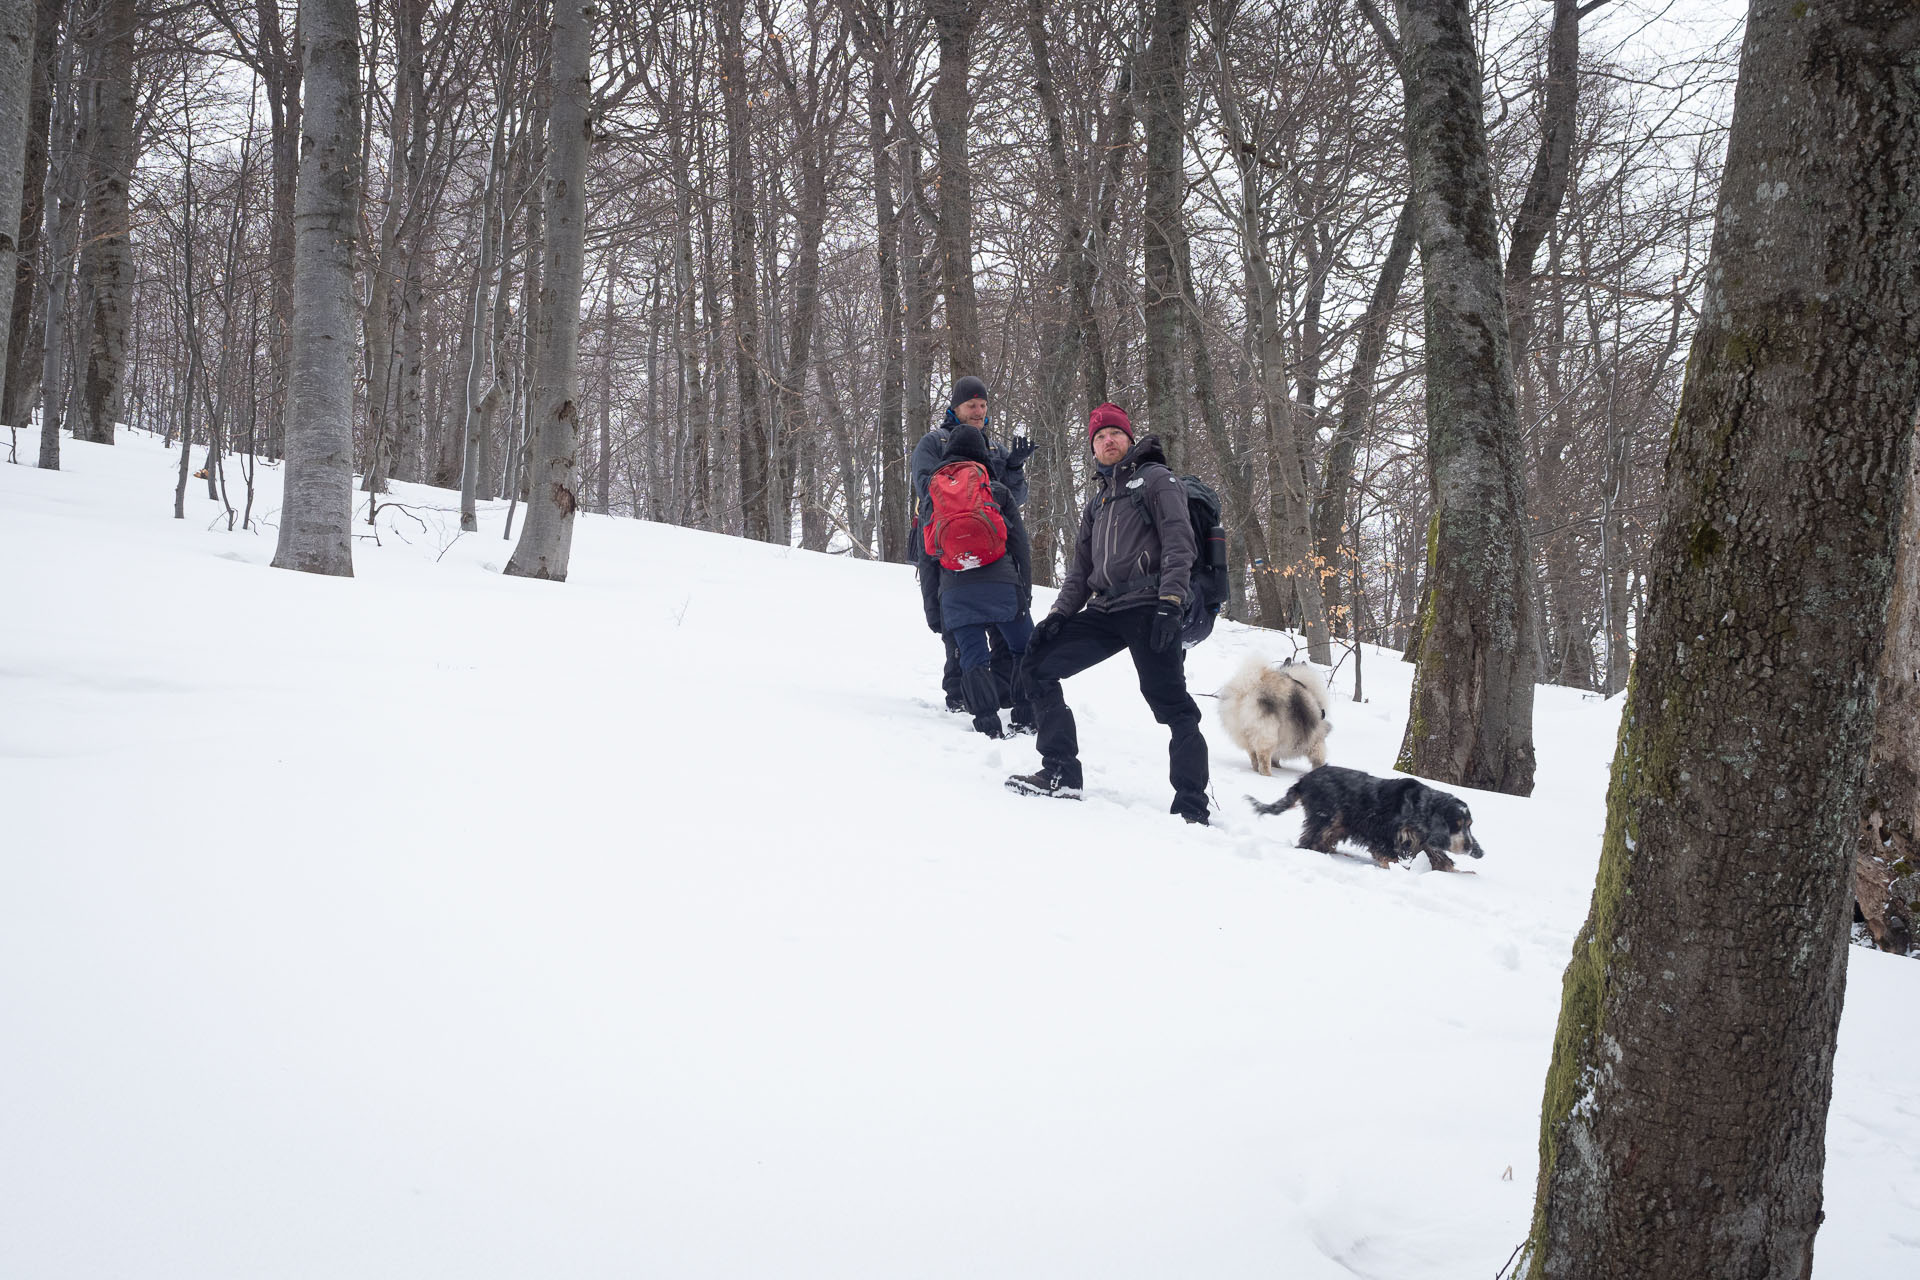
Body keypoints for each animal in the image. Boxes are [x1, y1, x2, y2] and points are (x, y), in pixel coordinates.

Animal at [1244, 771, 1482, 871]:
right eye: (1456, 825)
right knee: (1309, 840)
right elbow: (1391, 857)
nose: (1471, 847)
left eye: (1469, 825)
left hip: (1339, 823)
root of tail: (1303, 780)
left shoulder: (1419, 839)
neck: (1422, 806)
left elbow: (1436, 855)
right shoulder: (1383, 835)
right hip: (1329, 817)